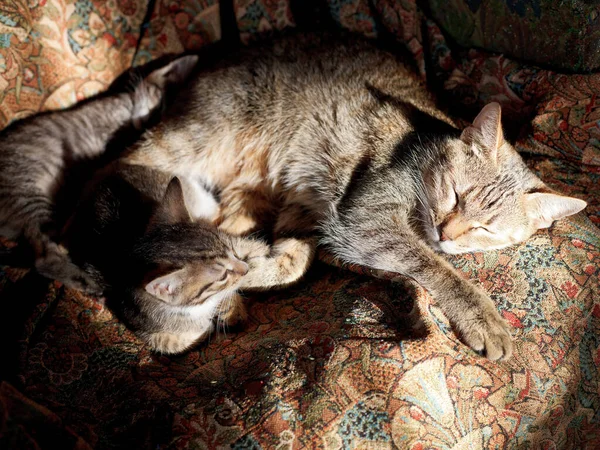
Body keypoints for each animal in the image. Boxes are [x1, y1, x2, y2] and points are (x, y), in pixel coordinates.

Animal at [64, 163, 314, 356]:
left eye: (231, 253)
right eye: (221, 276)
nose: (244, 268)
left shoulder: (236, 242)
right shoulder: (145, 322)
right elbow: (177, 341)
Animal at [120, 33, 584, 360]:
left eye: (485, 229)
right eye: (454, 195)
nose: (447, 233)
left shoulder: (312, 213)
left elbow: (291, 262)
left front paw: (241, 280)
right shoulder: (366, 217)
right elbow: (436, 267)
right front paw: (482, 316)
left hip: (249, 188)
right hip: (196, 141)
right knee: (126, 163)